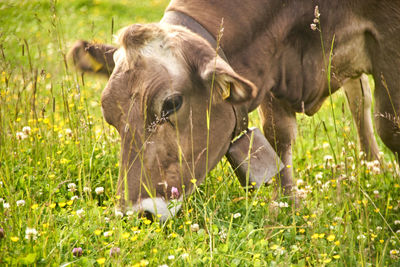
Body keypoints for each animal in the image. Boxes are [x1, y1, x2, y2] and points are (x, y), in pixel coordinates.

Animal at [69, 1, 400, 221]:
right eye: (110, 116)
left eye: (171, 104)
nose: (137, 214)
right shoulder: (270, 65)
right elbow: (279, 137)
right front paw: (288, 210)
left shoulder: (388, 39)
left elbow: (391, 128)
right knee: (358, 96)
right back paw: (373, 164)